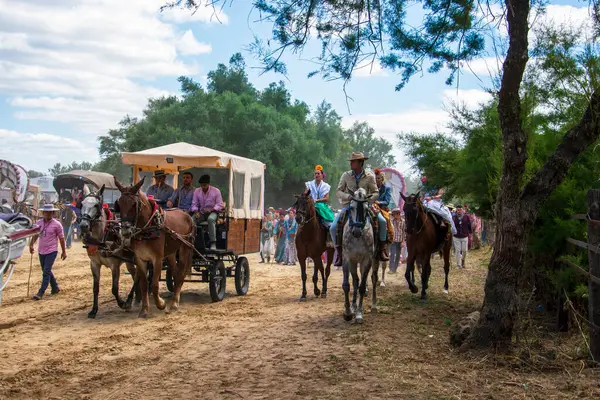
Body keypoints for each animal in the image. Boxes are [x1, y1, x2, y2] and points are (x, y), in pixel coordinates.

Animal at [115, 177, 195, 318]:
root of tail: (186, 215)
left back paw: (174, 303)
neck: (147, 229)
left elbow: (154, 285)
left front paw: (161, 304)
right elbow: (143, 284)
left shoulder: (157, 259)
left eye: (134, 204)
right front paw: (144, 310)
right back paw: (175, 298)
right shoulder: (140, 259)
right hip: (170, 253)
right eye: (119, 204)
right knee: (175, 273)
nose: (125, 231)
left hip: (185, 248)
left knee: (181, 274)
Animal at [342, 188, 380, 324]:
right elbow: (347, 285)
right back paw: (353, 306)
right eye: (351, 207)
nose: (357, 231)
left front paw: (359, 314)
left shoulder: (367, 260)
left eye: (366, 208)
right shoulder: (347, 259)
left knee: (374, 278)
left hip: (375, 260)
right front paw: (348, 312)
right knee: (355, 281)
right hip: (354, 262)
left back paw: (373, 305)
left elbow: (362, 287)